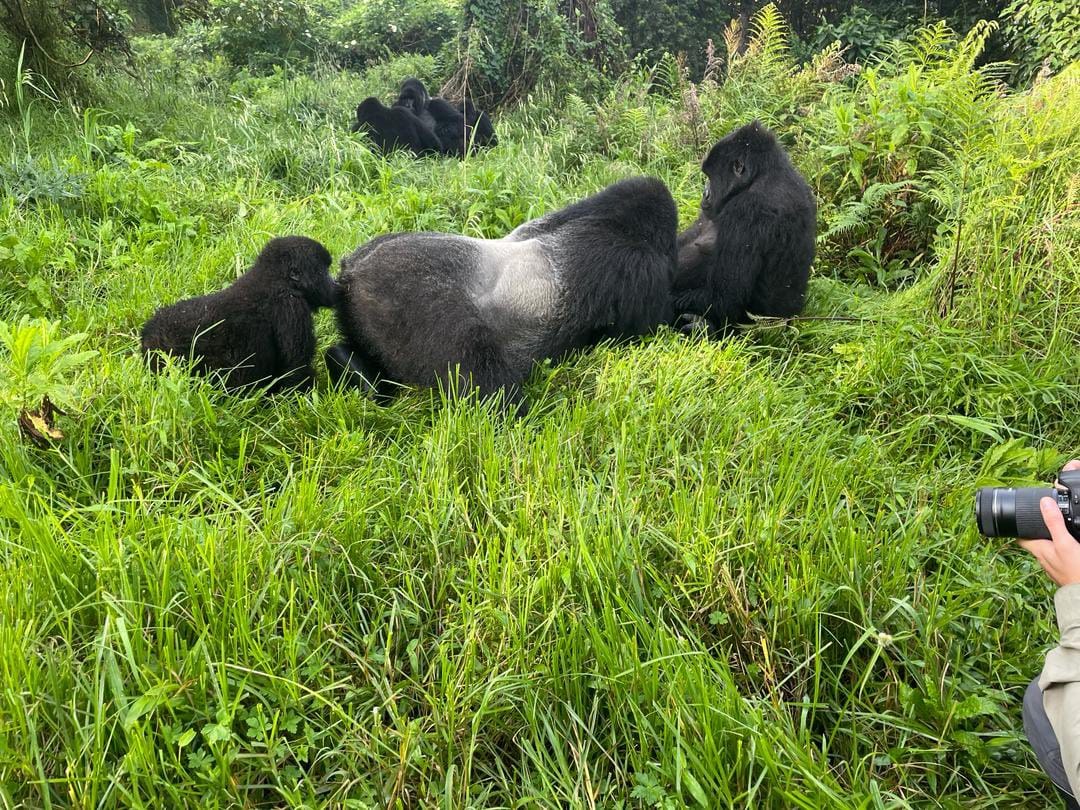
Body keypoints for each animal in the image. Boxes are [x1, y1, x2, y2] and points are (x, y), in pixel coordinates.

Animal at [324, 176, 673, 412]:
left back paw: (350, 368)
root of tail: (351, 272)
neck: (613, 221)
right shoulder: (634, 266)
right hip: (403, 294)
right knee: (479, 375)